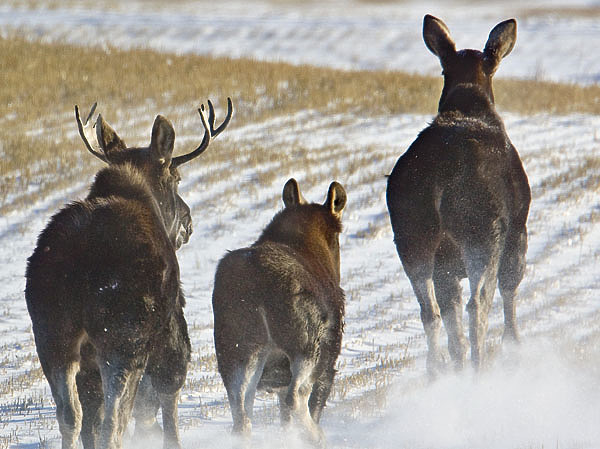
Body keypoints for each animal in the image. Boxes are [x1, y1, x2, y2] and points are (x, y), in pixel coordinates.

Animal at [25, 98, 232, 448]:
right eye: (176, 178)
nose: (189, 223)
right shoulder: (169, 322)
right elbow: (169, 387)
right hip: (122, 337)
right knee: (115, 417)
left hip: (53, 338)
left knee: (71, 415)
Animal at [212, 178, 346, 444]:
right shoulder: (328, 360)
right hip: (304, 346)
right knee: (297, 396)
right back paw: (317, 437)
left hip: (237, 353)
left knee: (241, 416)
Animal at [384, 15, 528, 372]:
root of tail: (439, 176)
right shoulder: (519, 230)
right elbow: (510, 288)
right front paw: (516, 346)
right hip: (482, 228)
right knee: (479, 303)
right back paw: (479, 367)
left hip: (413, 235)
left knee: (431, 311)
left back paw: (438, 370)